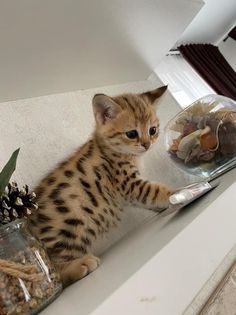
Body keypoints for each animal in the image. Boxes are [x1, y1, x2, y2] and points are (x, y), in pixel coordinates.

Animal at [28, 86, 175, 288]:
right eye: (132, 134)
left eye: (153, 130)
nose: (147, 144)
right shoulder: (130, 185)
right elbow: (158, 192)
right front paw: (181, 191)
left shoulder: (130, 192)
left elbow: (150, 201)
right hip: (69, 223)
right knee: (55, 275)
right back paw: (80, 264)